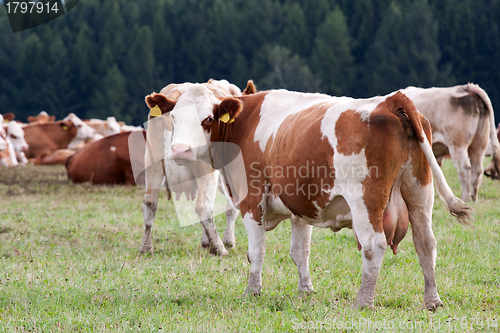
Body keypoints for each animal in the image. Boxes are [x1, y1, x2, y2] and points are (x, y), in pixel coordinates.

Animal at [146, 85, 472, 308]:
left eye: (208, 119)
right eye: (174, 118)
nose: (179, 151)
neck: (243, 125)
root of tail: (391, 100)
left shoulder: (252, 201)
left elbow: (256, 251)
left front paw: (252, 291)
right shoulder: (299, 207)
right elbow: (299, 251)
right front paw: (306, 290)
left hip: (365, 201)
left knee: (374, 246)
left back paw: (362, 301)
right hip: (419, 193)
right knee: (426, 243)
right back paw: (432, 300)